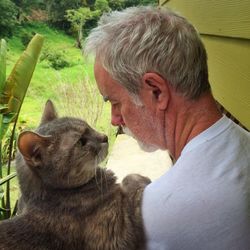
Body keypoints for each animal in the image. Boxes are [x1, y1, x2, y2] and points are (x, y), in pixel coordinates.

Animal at [0, 100, 150, 249]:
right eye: (81, 142)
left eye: (89, 126)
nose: (105, 137)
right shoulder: (115, 238)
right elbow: (131, 180)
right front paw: (142, 179)